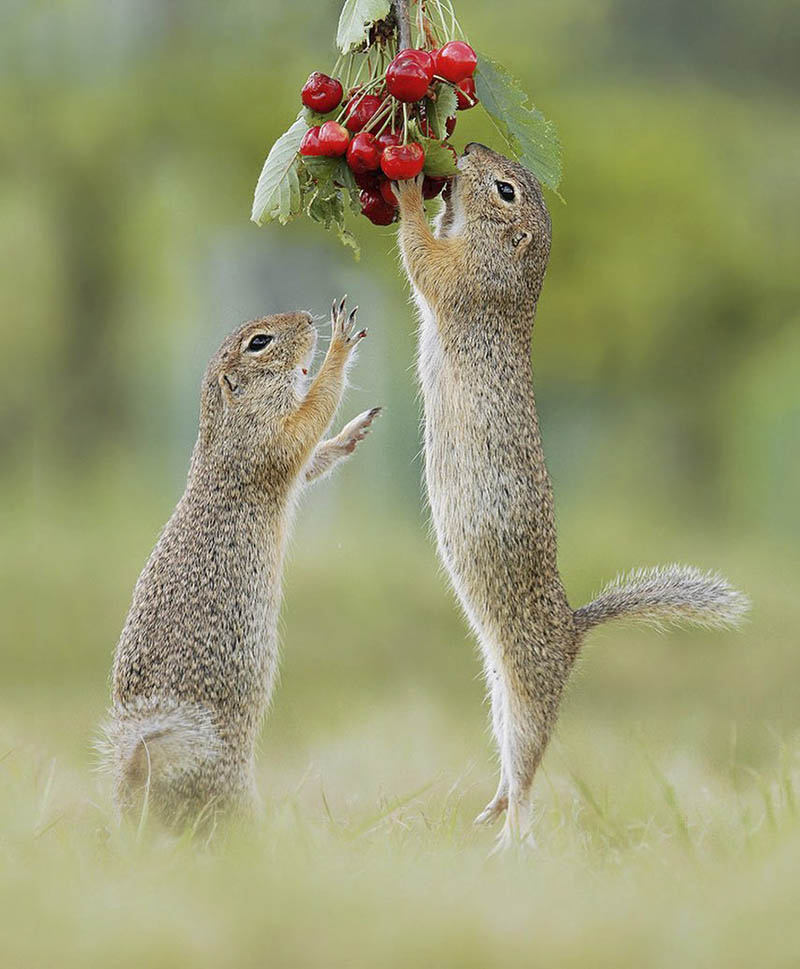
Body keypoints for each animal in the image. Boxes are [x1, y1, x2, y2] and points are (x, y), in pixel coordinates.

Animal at [101, 298, 382, 828]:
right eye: (259, 342)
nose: (308, 319)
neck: (225, 421)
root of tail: (138, 771)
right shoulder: (268, 439)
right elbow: (308, 417)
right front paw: (339, 344)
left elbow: (312, 456)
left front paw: (351, 434)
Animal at [394, 146, 752, 848]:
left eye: (506, 190)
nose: (468, 150)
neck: (515, 279)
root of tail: (572, 630)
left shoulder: (465, 282)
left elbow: (423, 257)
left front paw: (406, 191)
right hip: (499, 695)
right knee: (512, 773)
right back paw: (491, 810)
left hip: (527, 697)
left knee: (529, 775)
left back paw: (511, 843)